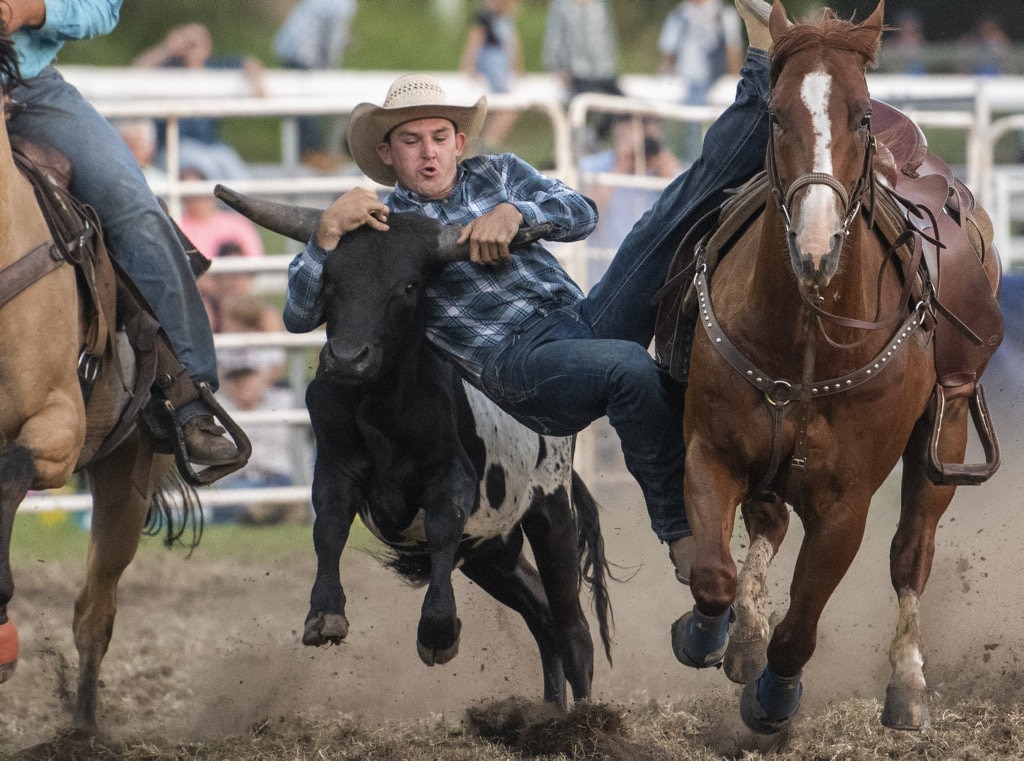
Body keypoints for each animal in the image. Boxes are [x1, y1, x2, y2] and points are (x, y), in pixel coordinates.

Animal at [659, 0, 1003, 737]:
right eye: (774, 115)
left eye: (863, 116)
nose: (815, 247)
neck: (808, 334)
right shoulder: (711, 451)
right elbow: (713, 575)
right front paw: (712, 634)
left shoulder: (847, 504)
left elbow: (803, 625)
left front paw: (774, 699)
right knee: (767, 527)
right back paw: (745, 637)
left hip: (948, 430)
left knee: (911, 554)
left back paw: (907, 686)